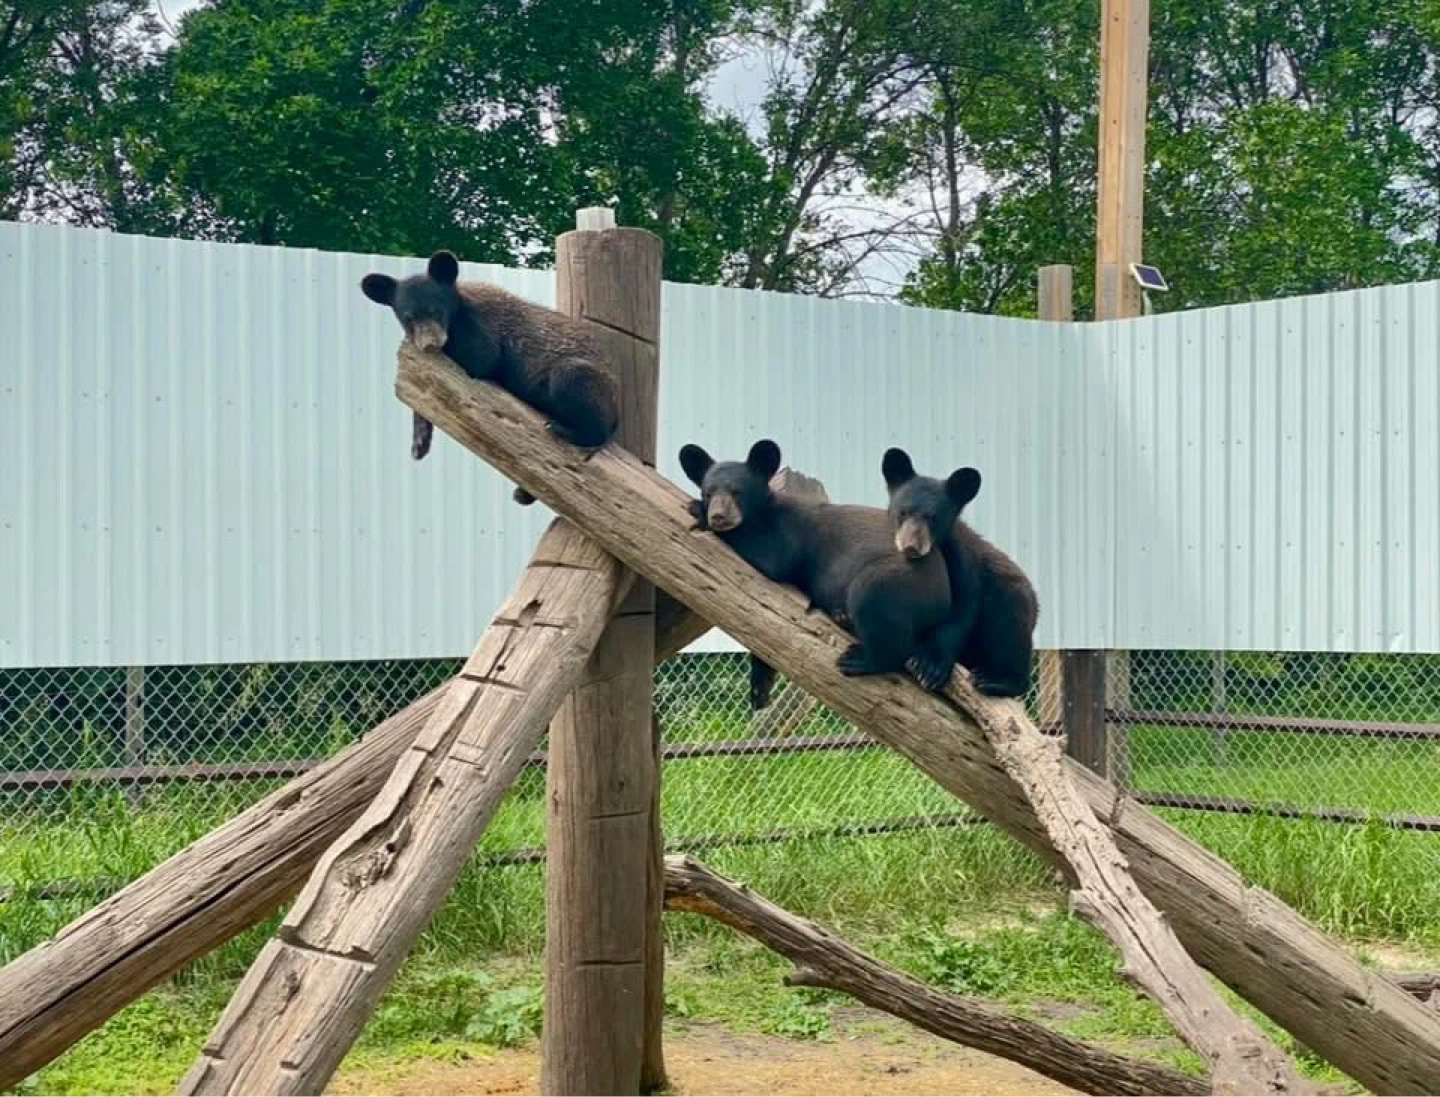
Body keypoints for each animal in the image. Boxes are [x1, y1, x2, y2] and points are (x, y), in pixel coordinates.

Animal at [361, 249, 620, 505]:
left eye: (436, 310)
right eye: (408, 317)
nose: (429, 343)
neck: (459, 310)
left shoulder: (482, 327)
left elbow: (483, 358)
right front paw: (419, 442)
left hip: (584, 380)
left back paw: (562, 430)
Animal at [679, 439, 952, 701]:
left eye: (737, 492)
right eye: (709, 492)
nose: (718, 516)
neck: (762, 513)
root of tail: (944, 595)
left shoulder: (788, 532)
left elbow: (773, 559)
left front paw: (696, 509)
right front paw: (759, 687)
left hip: (899, 581)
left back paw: (859, 659)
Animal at [880, 447, 1039, 698]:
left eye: (933, 517)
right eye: (902, 512)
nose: (911, 547)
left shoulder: (963, 565)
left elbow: (961, 608)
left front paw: (930, 667)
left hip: (1013, 600)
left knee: (1010, 630)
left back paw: (995, 680)